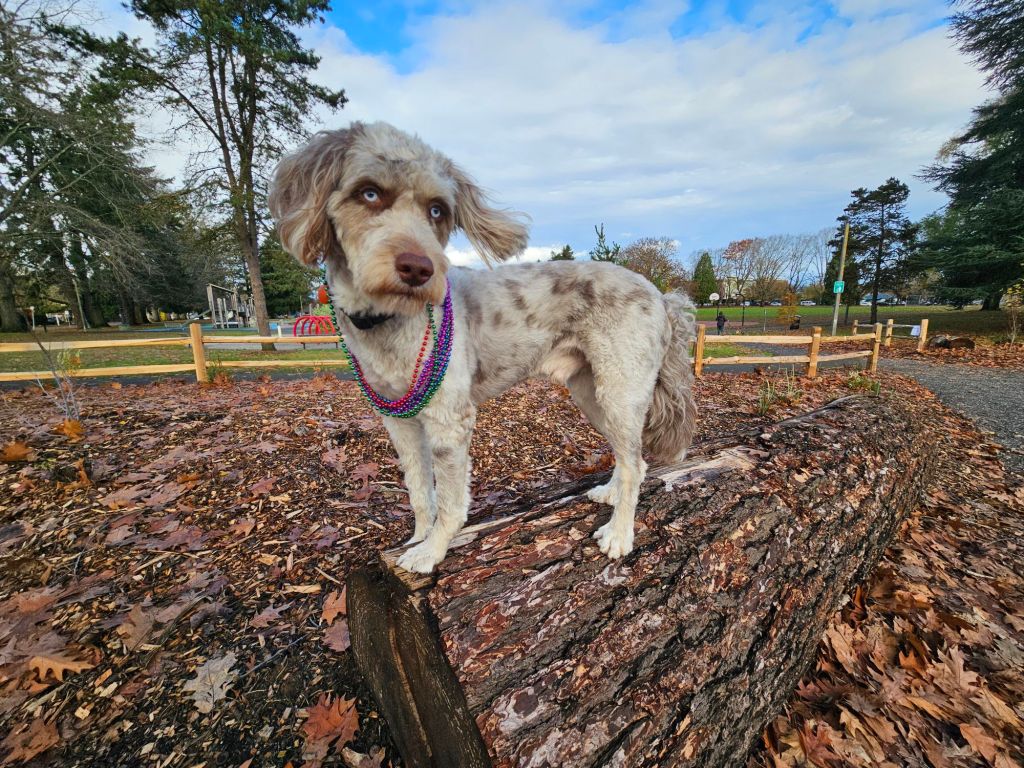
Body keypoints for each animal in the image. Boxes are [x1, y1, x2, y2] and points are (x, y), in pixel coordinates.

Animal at [269, 121, 697, 574]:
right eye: (368, 194)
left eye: (437, 210)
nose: (419, 268)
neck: (390, 320)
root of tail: (661, 296)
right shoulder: (399, 421)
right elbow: (418, 489)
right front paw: (417, 537)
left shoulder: (448, 419)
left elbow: (450, 501)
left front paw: (432, 551)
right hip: (591, 391)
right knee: (631, 455)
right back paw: (610, 493)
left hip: (621, 387)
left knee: (634, 462)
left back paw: (619, 533)